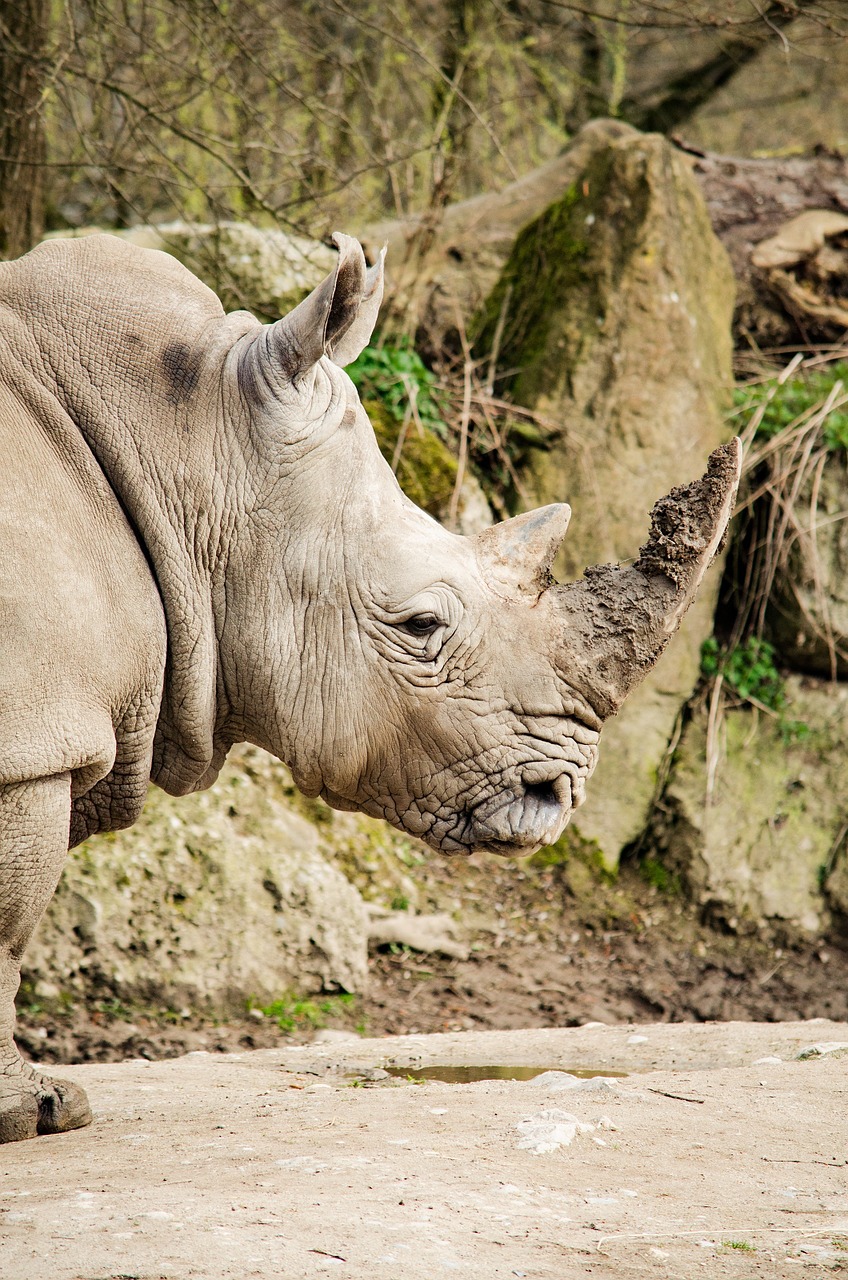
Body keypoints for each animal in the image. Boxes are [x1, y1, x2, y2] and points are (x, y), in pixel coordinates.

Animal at [0, 232, 742, 1152]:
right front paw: (34, 1115)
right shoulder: (33, 735)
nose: (558, 795)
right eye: (422, 625)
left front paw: (43, 1107)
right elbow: (9, 922)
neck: (186, 442)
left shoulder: (46, 722)